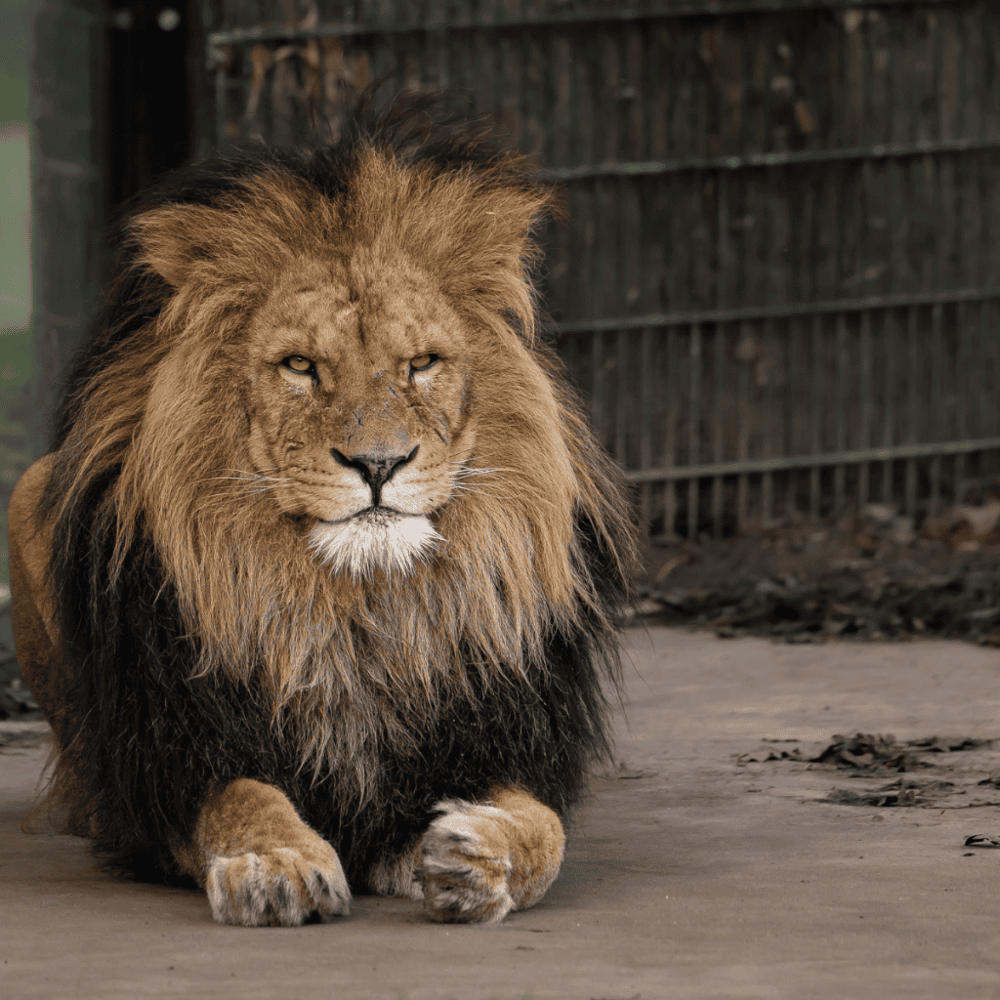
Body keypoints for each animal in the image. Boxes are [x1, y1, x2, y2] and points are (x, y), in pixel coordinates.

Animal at [8, 94, 635, 926]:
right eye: (300, 366)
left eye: (421, 364)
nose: (378, 464)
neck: (353, 614)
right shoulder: (172, 762)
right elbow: (242, 798)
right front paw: (276, 864)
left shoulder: (500, 735)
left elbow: (546, 827)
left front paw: (479, 857)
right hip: (29, 492)